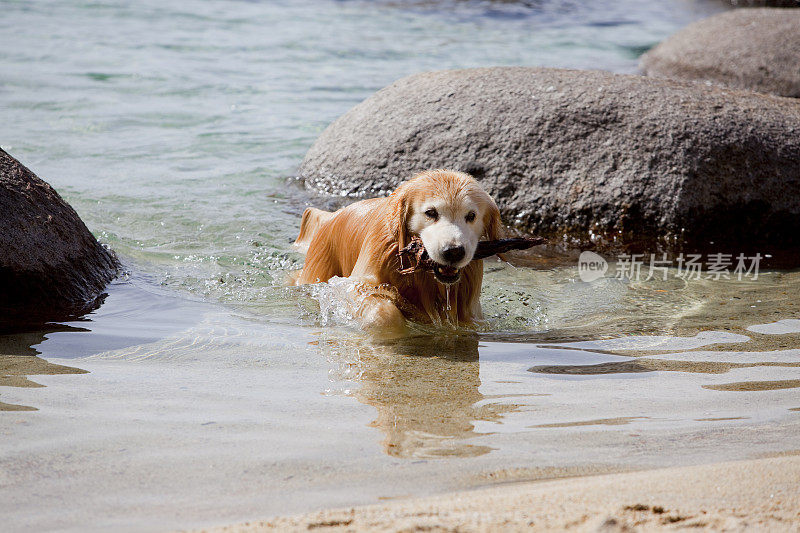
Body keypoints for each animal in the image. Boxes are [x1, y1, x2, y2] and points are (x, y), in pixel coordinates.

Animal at [294, 168, 500, 334]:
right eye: (431, 212)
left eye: (471, 216)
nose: (454, 251)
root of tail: (332, 216)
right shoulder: (358, 278)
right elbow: (381, 310)